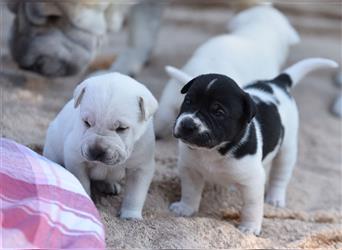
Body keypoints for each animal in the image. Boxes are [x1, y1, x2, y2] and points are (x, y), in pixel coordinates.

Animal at [43, 73, 159, 219]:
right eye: (86, 122)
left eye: (122, 128)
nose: (97, 151)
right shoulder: (76, 160)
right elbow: (82, 182)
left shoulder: (141, 167)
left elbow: (135, 193)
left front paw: (131, 215)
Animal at [168, 58, 336, 234]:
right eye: (188, 101)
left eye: (218, 112)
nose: (187, 124)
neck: (213, 151)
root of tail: (276, 83)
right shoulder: (190, 170)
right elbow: (190, 191)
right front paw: (185, 208)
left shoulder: (253, 182)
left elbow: (252, 206)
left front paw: (249, 227)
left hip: (287, 149)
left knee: (280, 175)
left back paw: (275, 197)